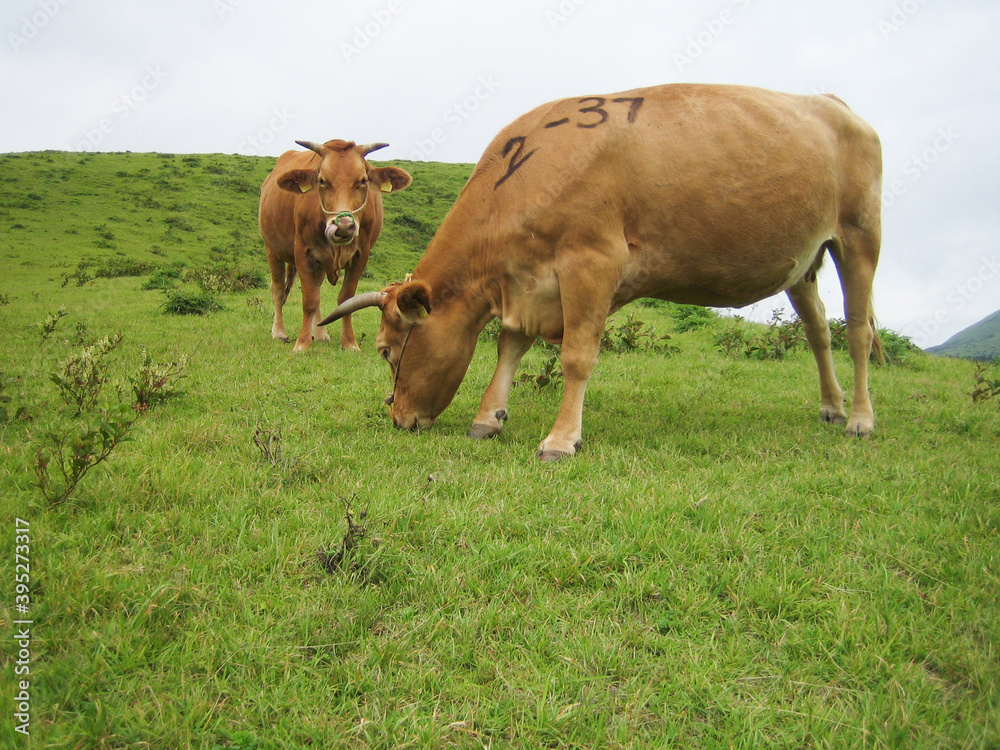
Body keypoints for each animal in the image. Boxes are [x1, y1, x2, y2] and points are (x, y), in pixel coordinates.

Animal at [262, 140, 414, 352]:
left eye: (363, 181)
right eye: (322, 180)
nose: (343, 225)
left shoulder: (361, 254)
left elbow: (345, 299)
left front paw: (349, 342)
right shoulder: (302, 251)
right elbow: (309, 300)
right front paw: (302, 344)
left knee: (316, 288)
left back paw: (320, 333)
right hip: (272, 249)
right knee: (277, 289)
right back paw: (279, 332)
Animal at [322, 82, 884, 458]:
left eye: (387, 350)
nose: (397, 417)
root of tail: (832, 102)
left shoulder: (591, 262)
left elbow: (576, 357)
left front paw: (560, 438)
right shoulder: (527, 281)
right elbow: (509, 346)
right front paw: (488, 417)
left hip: (859, 235)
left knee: (857, 330)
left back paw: (859, 419)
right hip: (803, 261)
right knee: (818, 331)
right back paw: (831, 406)